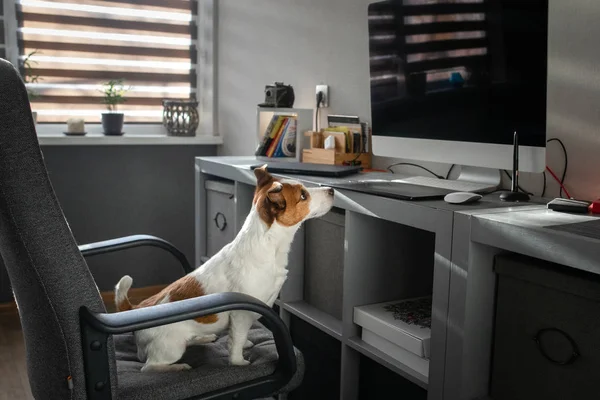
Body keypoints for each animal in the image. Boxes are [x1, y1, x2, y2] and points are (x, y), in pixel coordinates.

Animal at [115, 164, 336, 370]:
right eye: (303, 195)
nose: (332, 190)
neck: (267, 245)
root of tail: (135, 308)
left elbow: (240, 336)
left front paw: (244, 344)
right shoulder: (241, 314)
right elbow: (236, 342)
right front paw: (239, 362)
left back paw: (202, 338)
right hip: (171, 347)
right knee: (150, 366)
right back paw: (178, 367)